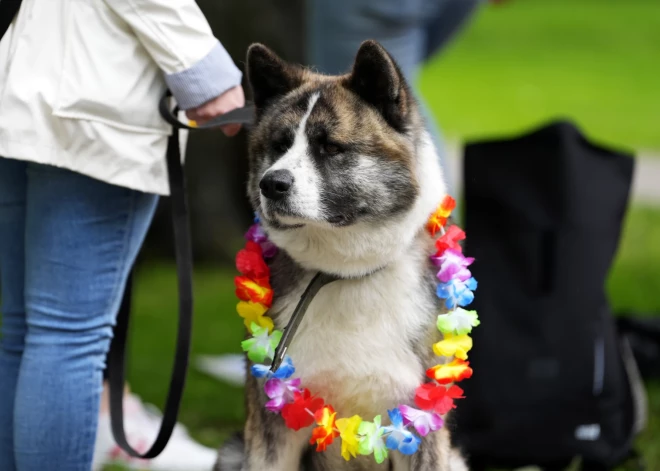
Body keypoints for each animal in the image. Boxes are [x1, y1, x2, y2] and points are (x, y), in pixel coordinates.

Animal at [217, 40, 470, 471]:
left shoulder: (420, 430)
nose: (271, 184)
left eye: (331, 147)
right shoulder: (270, 432)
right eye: (279, 145)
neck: (345, 274)